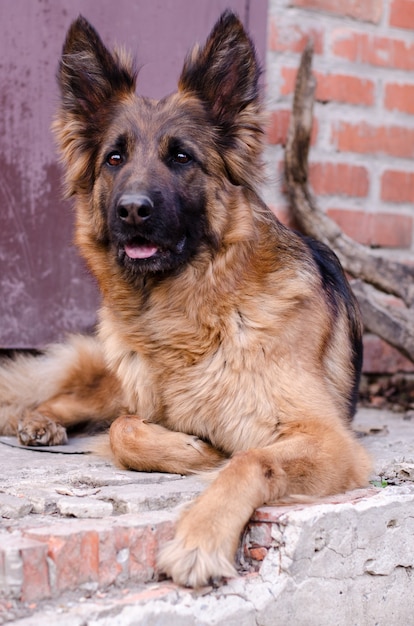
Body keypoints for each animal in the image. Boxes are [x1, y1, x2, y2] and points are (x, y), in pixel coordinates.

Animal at [0, 11, 368, 584]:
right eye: (114, 158)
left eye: (180, 157)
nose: (132, 210)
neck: (185, 314)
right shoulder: (141, 404)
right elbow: (127, 428)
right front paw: (191, 448)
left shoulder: (327, 439)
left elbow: (250, 459)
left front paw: (200, 539)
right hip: (114, 379)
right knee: (81, 399)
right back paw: (37, 419)